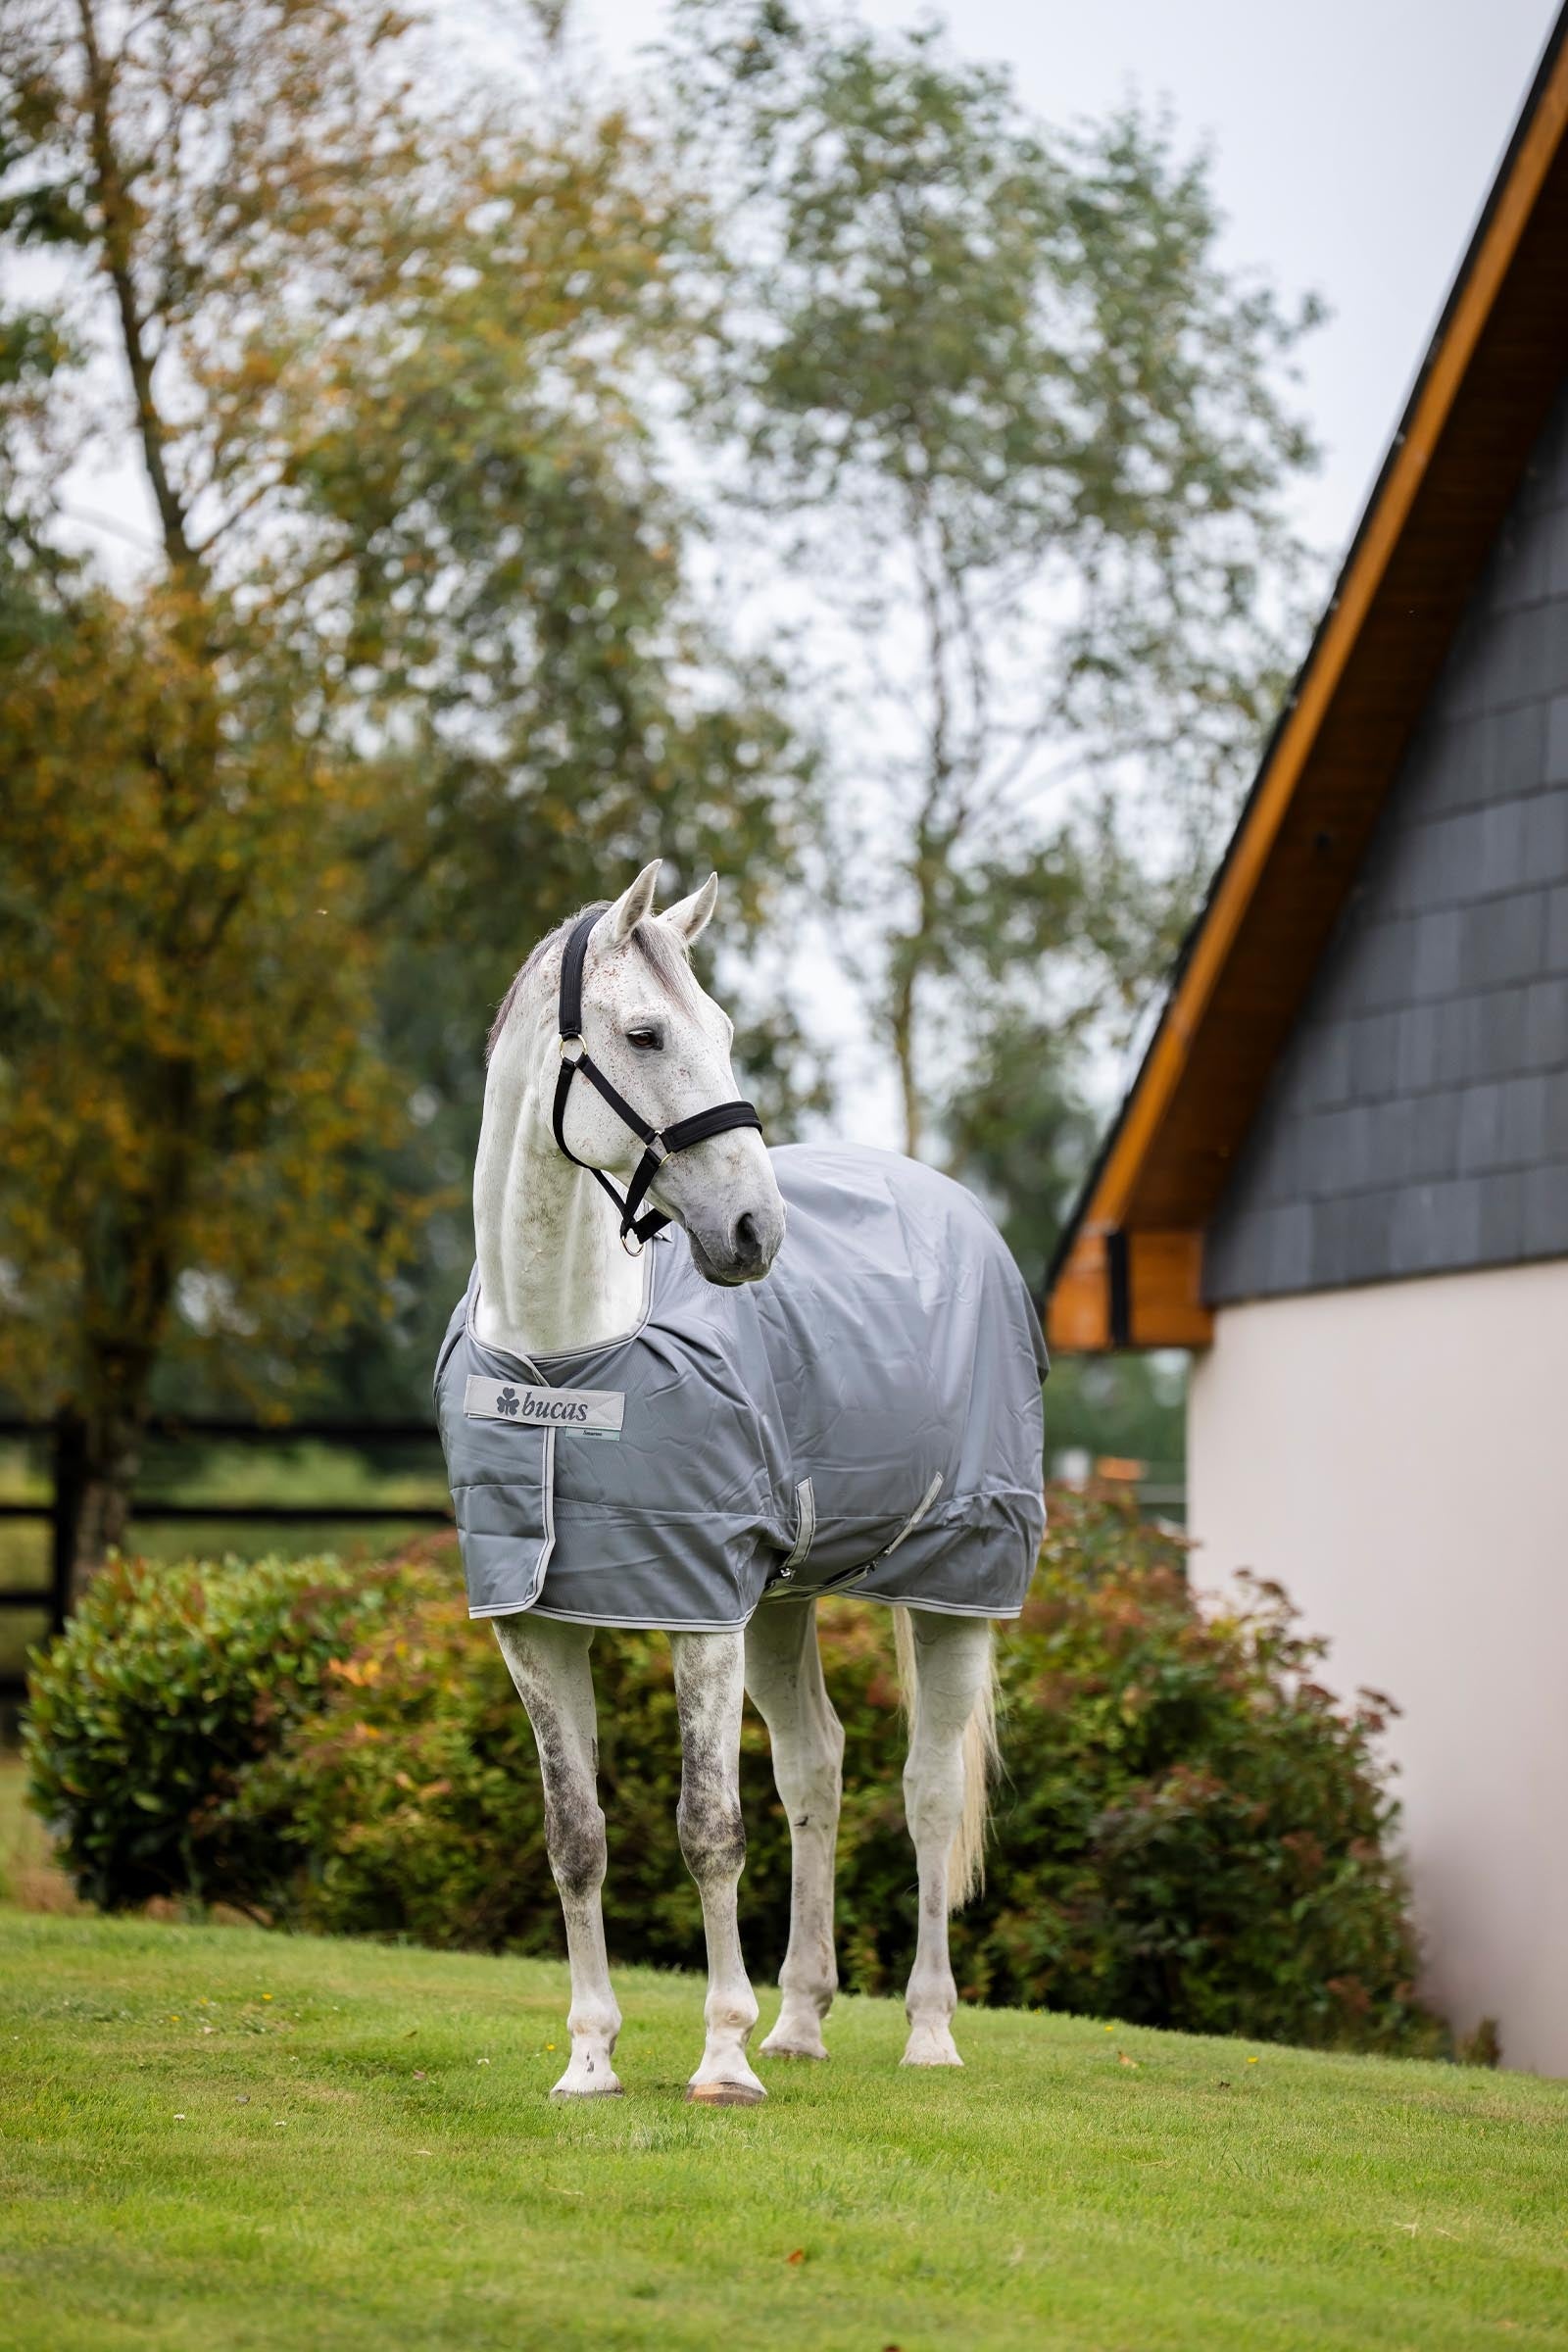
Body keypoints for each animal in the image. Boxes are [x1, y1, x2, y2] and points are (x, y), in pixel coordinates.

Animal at [437, 859, 1047, 2103]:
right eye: (645, 1032)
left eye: (720, 1028)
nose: (756, 1231)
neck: (563, 1363)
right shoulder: (535, 1625)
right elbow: (577, 1837)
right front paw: (590, 2059)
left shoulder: (699, 1617)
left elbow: (708, 1828)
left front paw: (719, 2057)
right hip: (783, 1601)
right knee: (816, 1771)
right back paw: (802, 2020)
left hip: (957, 1590)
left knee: (924, 1790)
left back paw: (926, 2031)